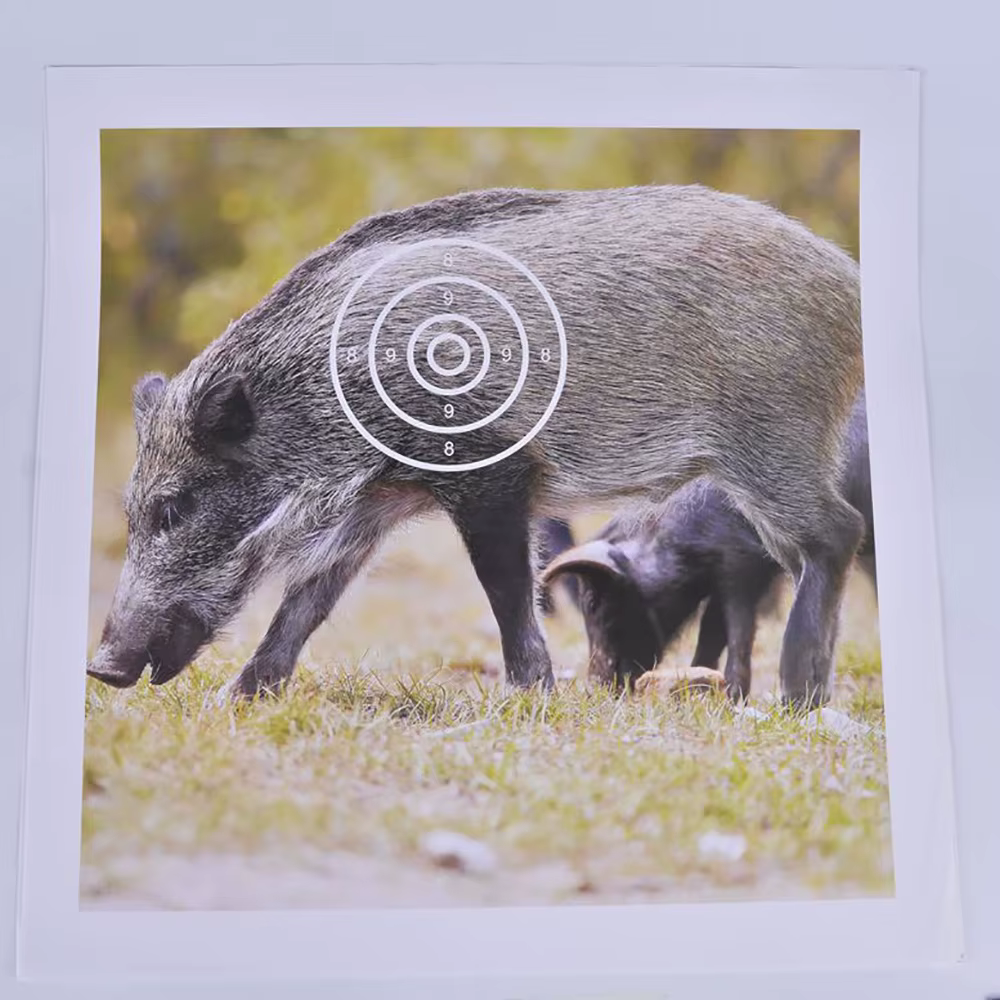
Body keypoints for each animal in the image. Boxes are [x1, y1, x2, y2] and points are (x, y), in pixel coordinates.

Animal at [540, 391, 875, 697]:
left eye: (593, 603)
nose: (595, 687)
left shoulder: (743, 567)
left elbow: (736, 632)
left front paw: (733, 696)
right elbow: (712, 632)